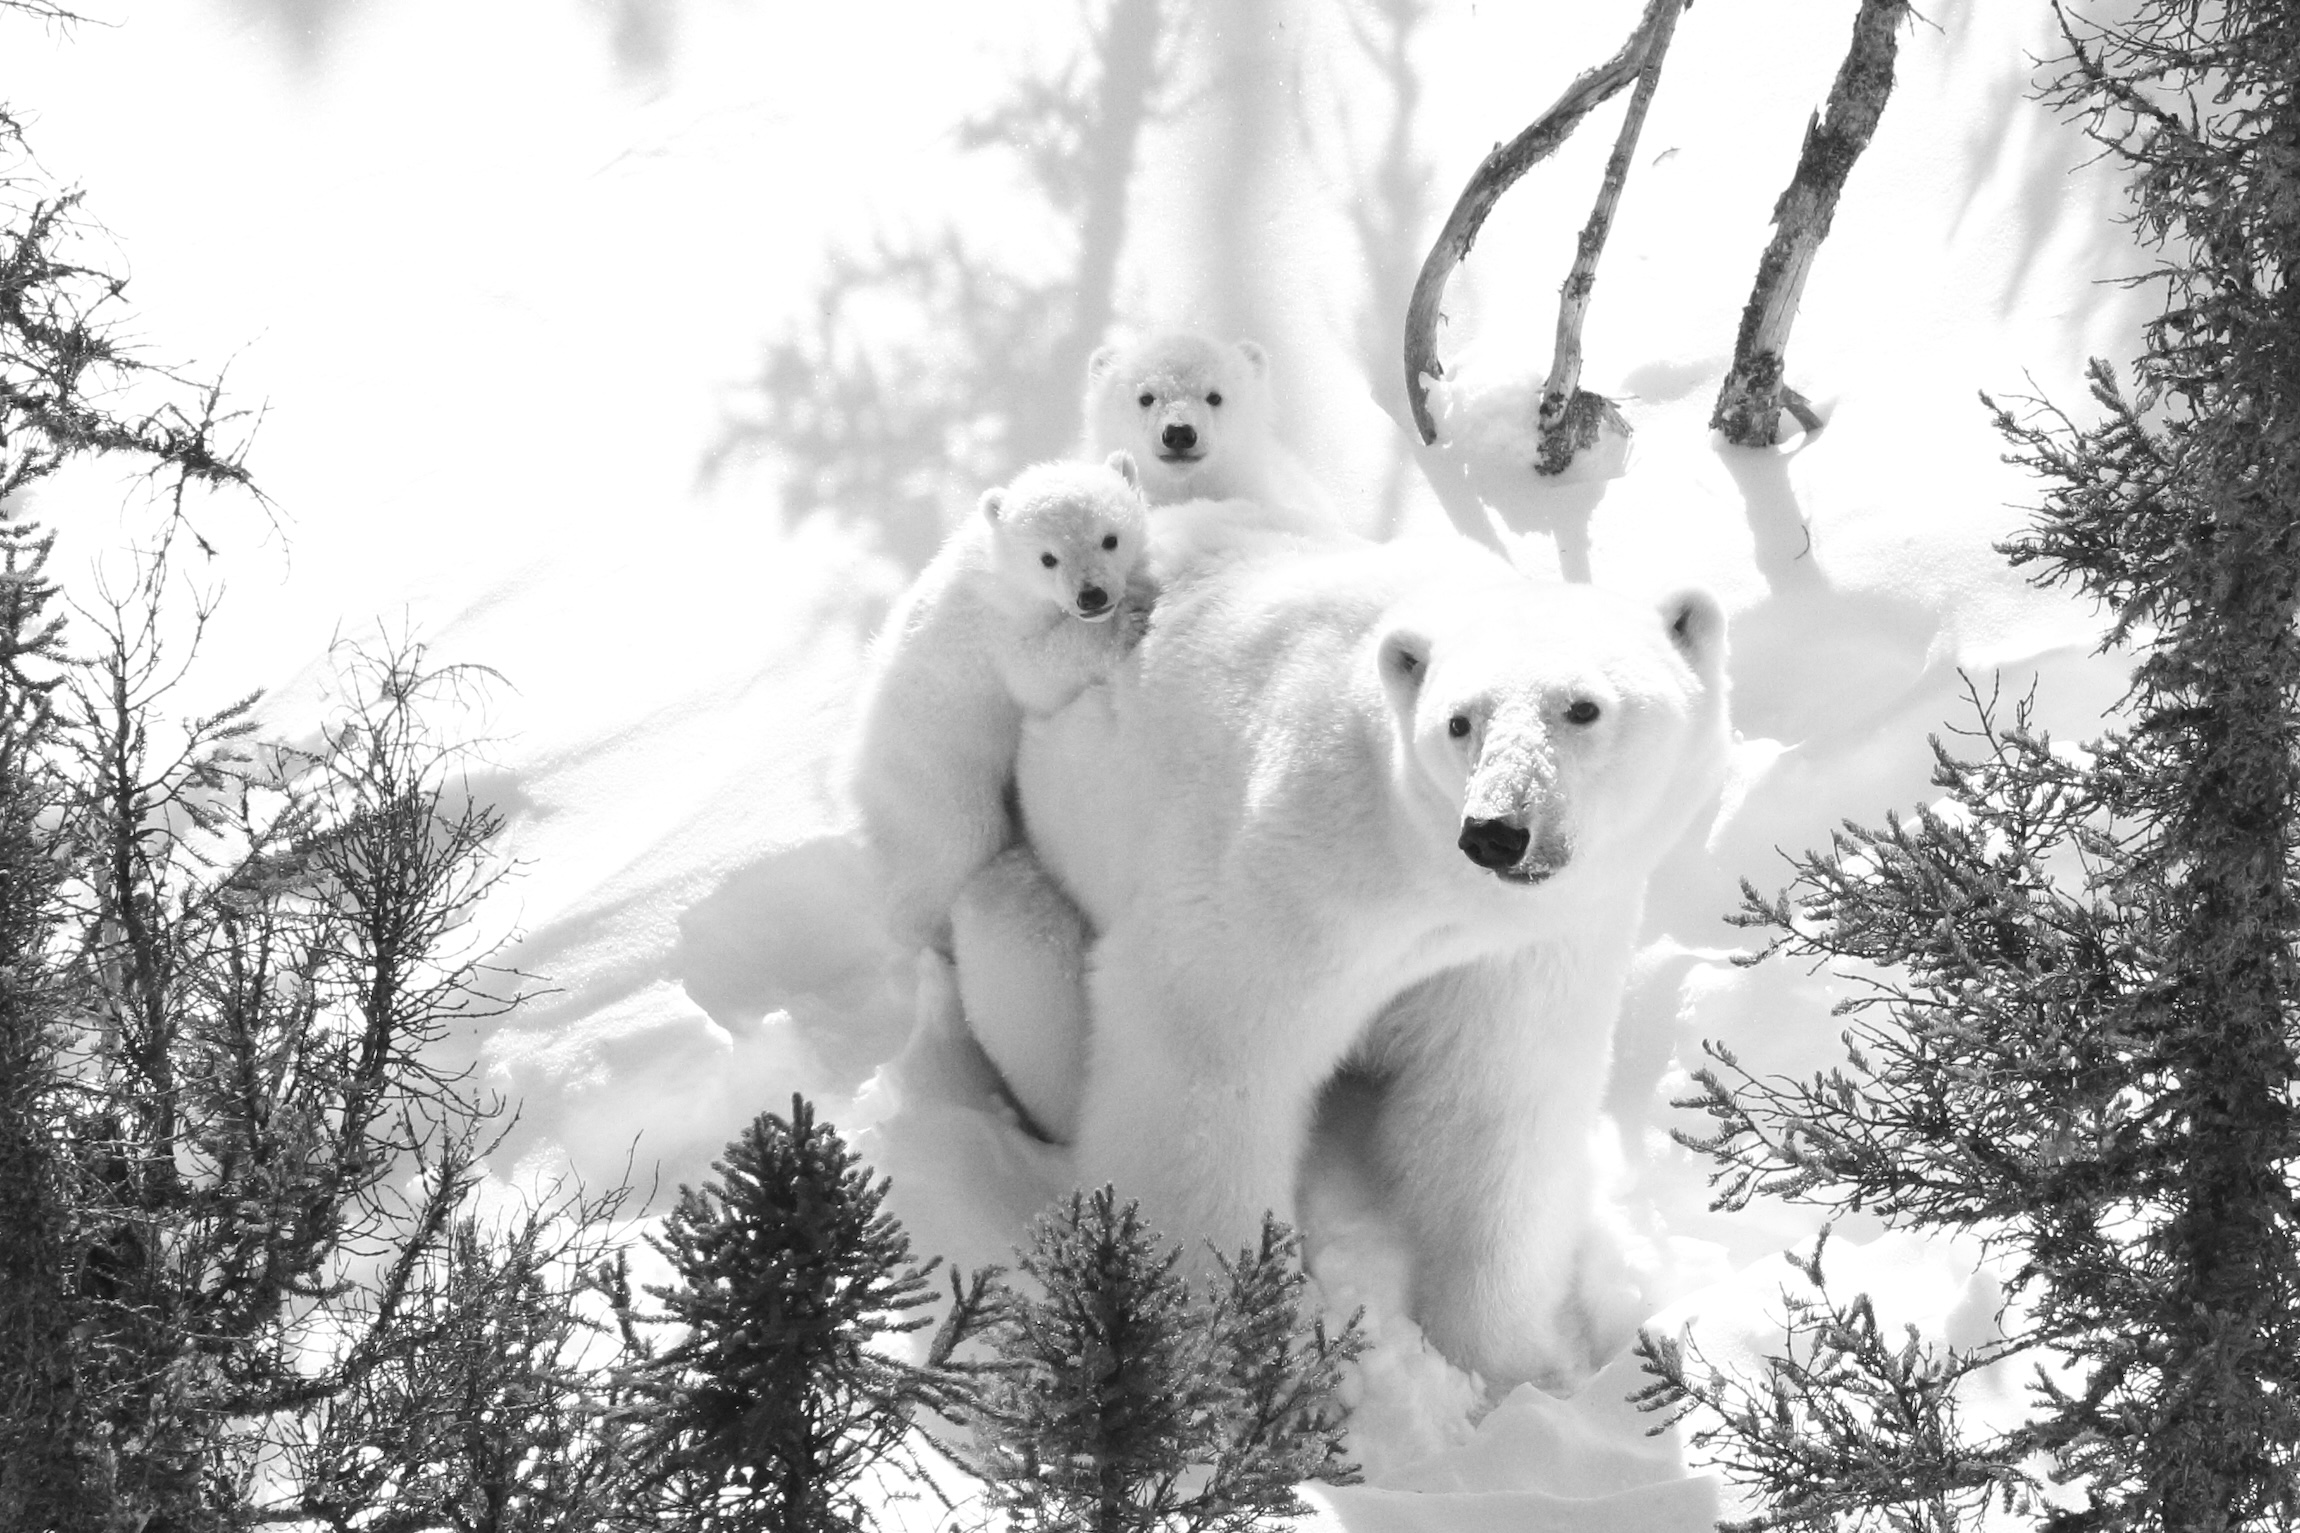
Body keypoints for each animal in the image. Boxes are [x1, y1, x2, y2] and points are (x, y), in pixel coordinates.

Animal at [852, 452, 1152, 956]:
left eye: (1109, 537)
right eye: (1048, 557)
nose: (1091, 596)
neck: (1004, 568)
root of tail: (853, 780)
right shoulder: (1000, 629)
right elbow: (1036, 675)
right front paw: (1128, 621)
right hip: (931, 773)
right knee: (958, 841)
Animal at [954, 532, 1730, 1386]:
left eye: (1583, 706)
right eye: (1459, 721)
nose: (1497, 830)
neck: (1429, 878)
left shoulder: (1524, 944)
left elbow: (1492, 1106)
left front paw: (1512, 1363)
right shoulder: (1298, 871)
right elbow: (1207, 1062)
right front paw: (1215, 1337)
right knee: (1016, 942)